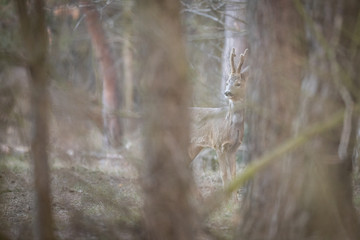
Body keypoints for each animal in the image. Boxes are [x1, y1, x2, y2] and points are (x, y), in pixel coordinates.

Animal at [188, 47, 248, 188]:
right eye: (227, 82)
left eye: (238, 83)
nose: (227, 92)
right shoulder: (219, 144)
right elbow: (224, 175)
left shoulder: (234, 148)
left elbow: (234, 175)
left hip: (193, 147)